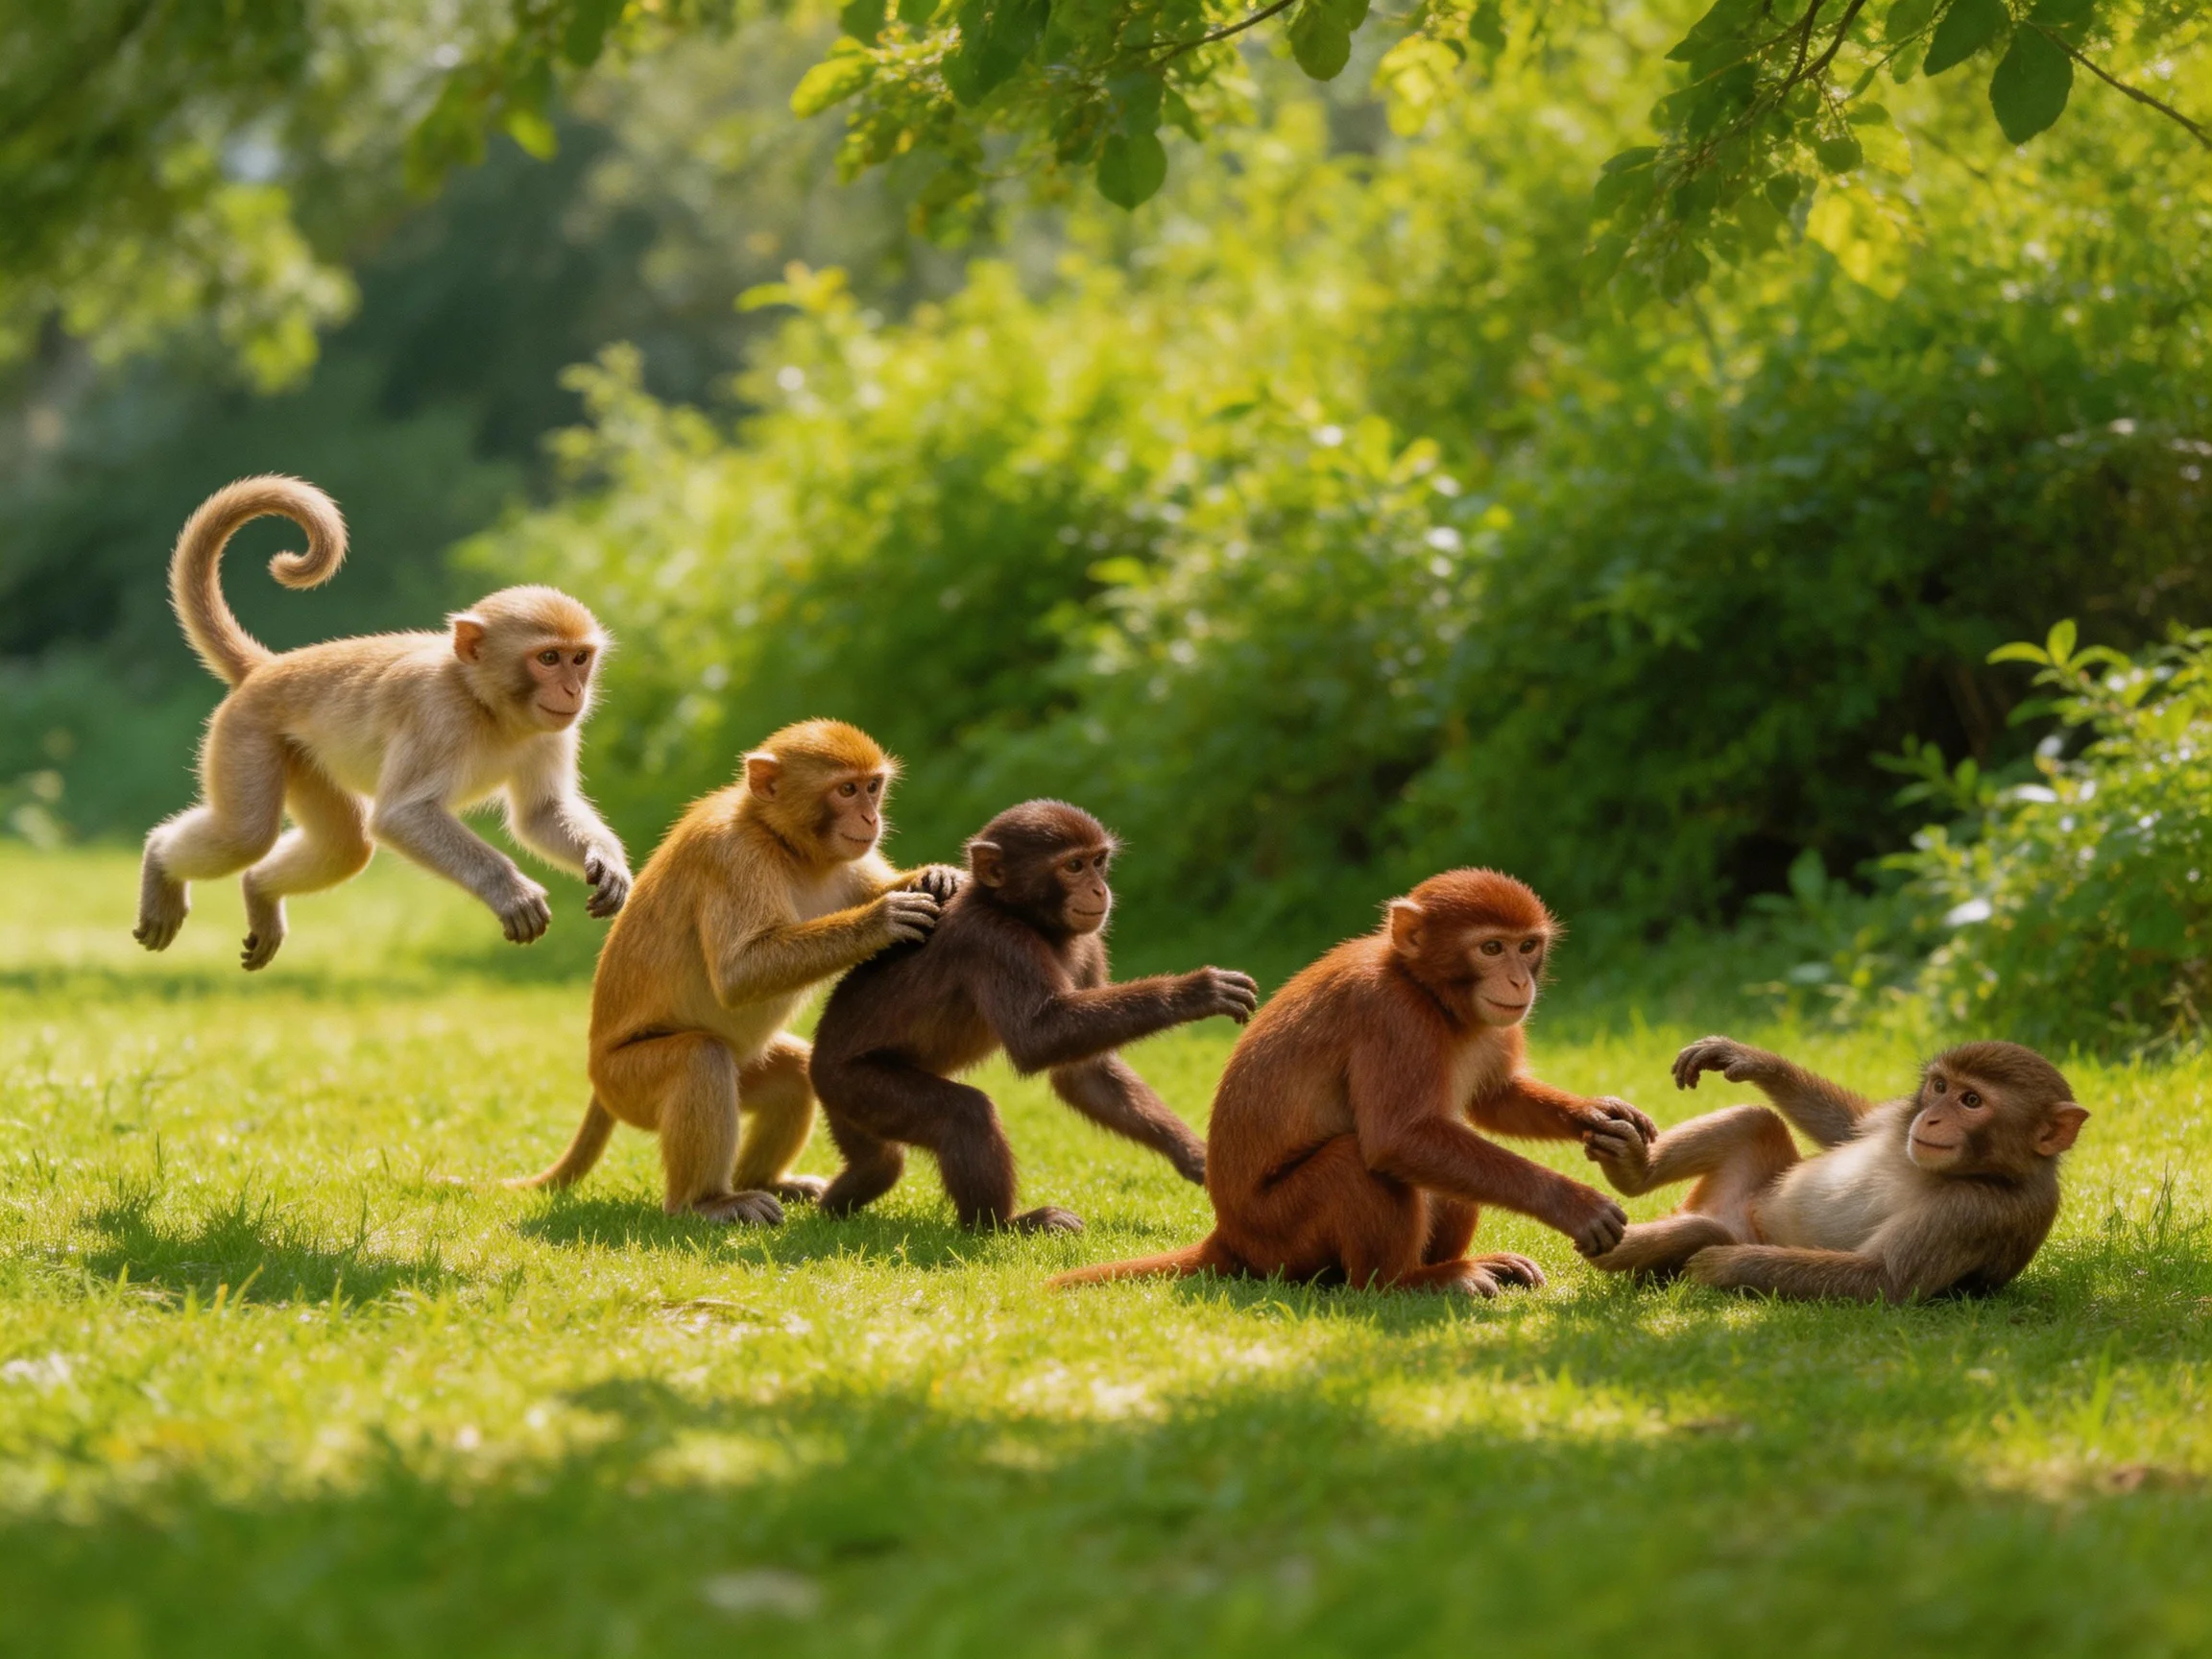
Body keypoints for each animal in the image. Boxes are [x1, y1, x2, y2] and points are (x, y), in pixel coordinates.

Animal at [131, 476, 630, 970]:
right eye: (548, 659)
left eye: (579, 659)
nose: (573, 691)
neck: (483, 702)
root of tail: (268, 669)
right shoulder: (438, 715)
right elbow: (402, 815)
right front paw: (509, 891)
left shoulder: (555, 733)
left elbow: (540, 814)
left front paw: (607, 862)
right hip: (247, 734)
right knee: (247, 834)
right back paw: (158, 861)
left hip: (301, 757)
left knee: (344, 848)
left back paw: (258, 889)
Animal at [512, 720, 964, 1224]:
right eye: (846, 790)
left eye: (872, 787)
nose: (870, 819)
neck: (781, 842)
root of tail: (596, 1072)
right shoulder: (732, 857)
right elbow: (739, 973)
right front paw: (882, 920)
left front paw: (936, 876)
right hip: (626, 1083)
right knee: (700, 1059)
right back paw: (705, 1202)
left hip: (742, 1071)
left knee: (793, 1074)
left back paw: (765, 1181)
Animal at [807, 799, 1260, 1234]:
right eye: (1073, 866)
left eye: (1098, 861)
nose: (1099, 889)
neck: (1023, 917)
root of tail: (817, 1063)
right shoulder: (996, 941)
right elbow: (1038, 1039)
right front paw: (1196, 991)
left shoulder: (1089, 944)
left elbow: (1084, 1072)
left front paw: (1196, 1157)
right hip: (852, 1082)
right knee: (964, 1114)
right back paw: (999, 1225)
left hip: (845, 1104)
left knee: (881, 1162)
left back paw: (842, 1196)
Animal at [1051, 869, 1656, 1296]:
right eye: (1491, 948)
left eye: (1527, 946)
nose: (1517, 981)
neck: (1426, 991)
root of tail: (1230, 1235)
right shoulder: (1391, 1017)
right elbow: (1396, 1139)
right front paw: (1573, 1203)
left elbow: (1494, 1100)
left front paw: (1600, 1115)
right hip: (1280, 1237)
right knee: (1356, 1163)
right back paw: (1408, 1282)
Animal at [1581, 1035, 2089, 1302]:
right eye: (1940, 1087)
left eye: (1971, 1101)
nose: (1931, 1118)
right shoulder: (1899, 1119)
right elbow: (1850, 1128)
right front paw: (1747, 1058)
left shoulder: (1980, 1212)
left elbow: (1884, 1280)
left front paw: (1723, 1266)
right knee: (1756, 1122)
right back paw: (1635, 1171)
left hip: (1728, 1220)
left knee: (1702, 1230)